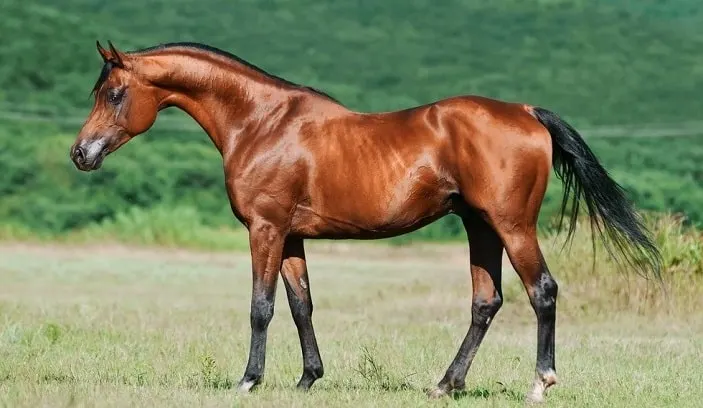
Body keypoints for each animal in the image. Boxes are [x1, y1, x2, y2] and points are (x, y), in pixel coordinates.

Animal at [69, 40, 664, 402]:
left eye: (114, 93)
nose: (81, 153)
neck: (261, 122)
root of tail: (525, 111)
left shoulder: (264, 229)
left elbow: (262, 307)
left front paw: (249, 381)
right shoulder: (291, 237)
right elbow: (301, 306)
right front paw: (308, 379)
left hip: (512, 226)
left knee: (542, 291)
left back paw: (539, 384)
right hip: (479, 227)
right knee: (486, 302)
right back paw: (445, 385)